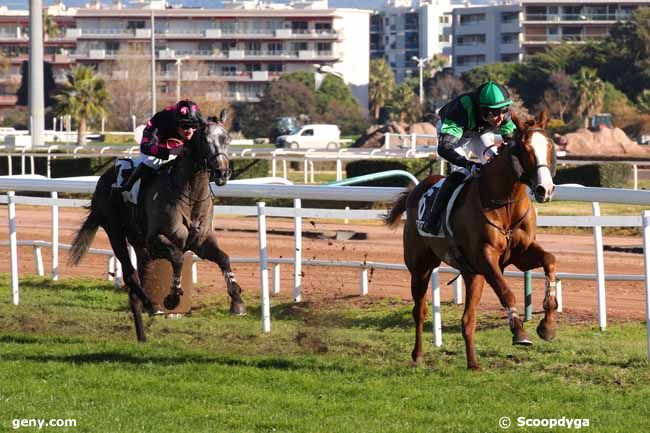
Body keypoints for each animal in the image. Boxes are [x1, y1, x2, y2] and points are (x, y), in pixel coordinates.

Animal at [384, 111, 556, 368]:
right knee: (419, 310)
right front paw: (519, 332)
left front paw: (548, 325)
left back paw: (473, 363)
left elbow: (550, 260)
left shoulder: (520, 253)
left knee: (467, 319)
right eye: (525, 148)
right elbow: (507, 292)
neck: (504, 203)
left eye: (550, 146)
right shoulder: (486, 257)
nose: (545, 189)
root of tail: (415, 190)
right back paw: (418, 355)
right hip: (421, 266)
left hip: (472, 274)